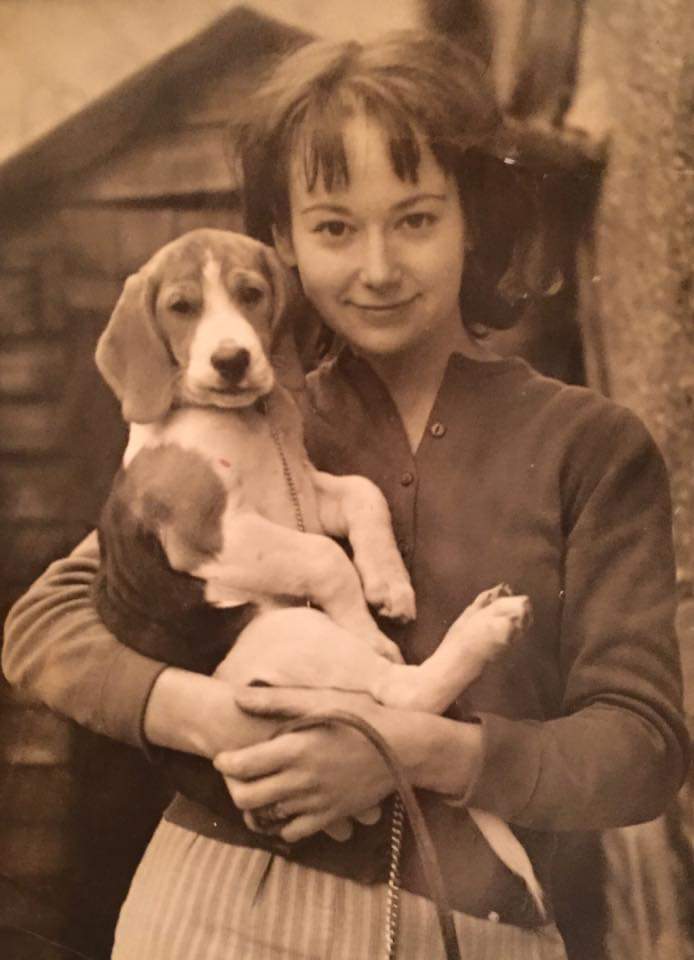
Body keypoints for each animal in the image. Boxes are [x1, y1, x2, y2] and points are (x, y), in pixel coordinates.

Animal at [93, 227, 543, 913]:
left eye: (251, 294)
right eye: (181, 307)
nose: (231, 360)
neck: (243, 420)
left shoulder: (304, 489)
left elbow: (364, 495)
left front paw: (389, 584)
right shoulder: (209, 535)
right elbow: (325, 559)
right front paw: (365, 621)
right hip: (291, 637)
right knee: (402, 690)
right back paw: (479, 628)